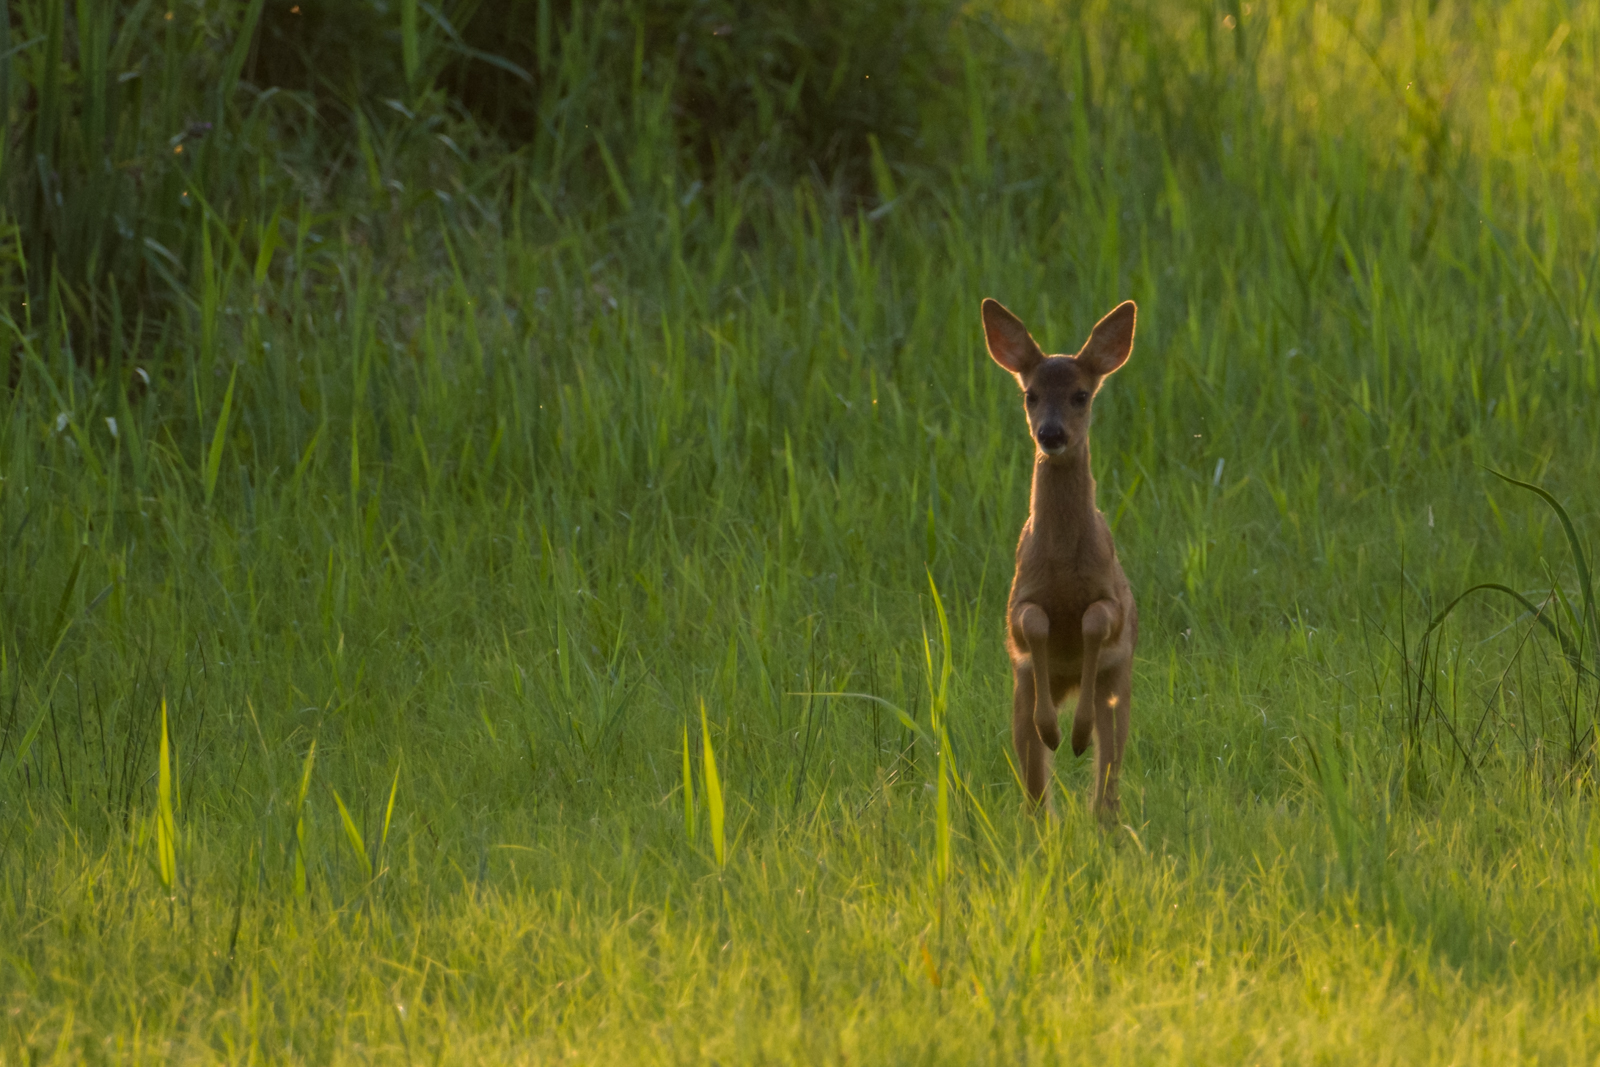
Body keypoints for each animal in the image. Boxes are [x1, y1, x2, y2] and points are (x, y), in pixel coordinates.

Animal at [972, 295, 1139, 825]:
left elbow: (1093, 621)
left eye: (1081, 395)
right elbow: (1035, 624)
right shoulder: (1019, 598)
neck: (1064, 565)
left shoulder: (1112, 600)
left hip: (1120, 690)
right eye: (1030, 395)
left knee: (1110, 771)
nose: (1050, 434)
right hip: (1018, 698)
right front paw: (1054, 731)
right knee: (1033, 780)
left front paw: (1077, 734)